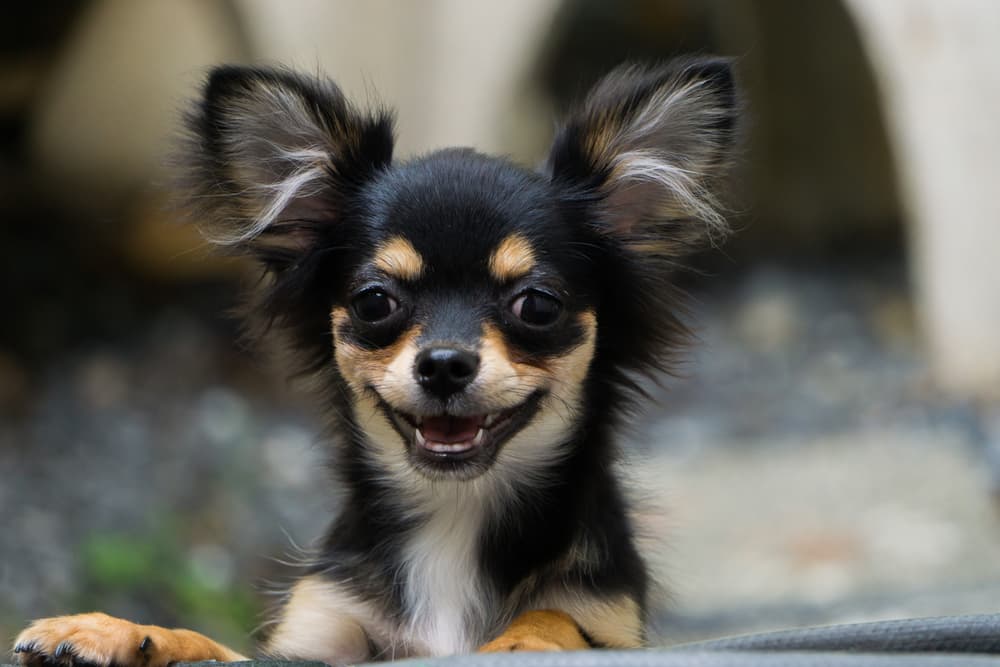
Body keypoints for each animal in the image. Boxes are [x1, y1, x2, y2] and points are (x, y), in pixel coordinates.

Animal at [11, 58, 740, 667]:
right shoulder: (318, 634)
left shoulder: (608, 615)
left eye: (537, 305)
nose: (443, 363)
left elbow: (558, 617)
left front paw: (522, 638)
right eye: (374, 302)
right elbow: (212, 644)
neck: (455, 516)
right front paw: (116, 631)